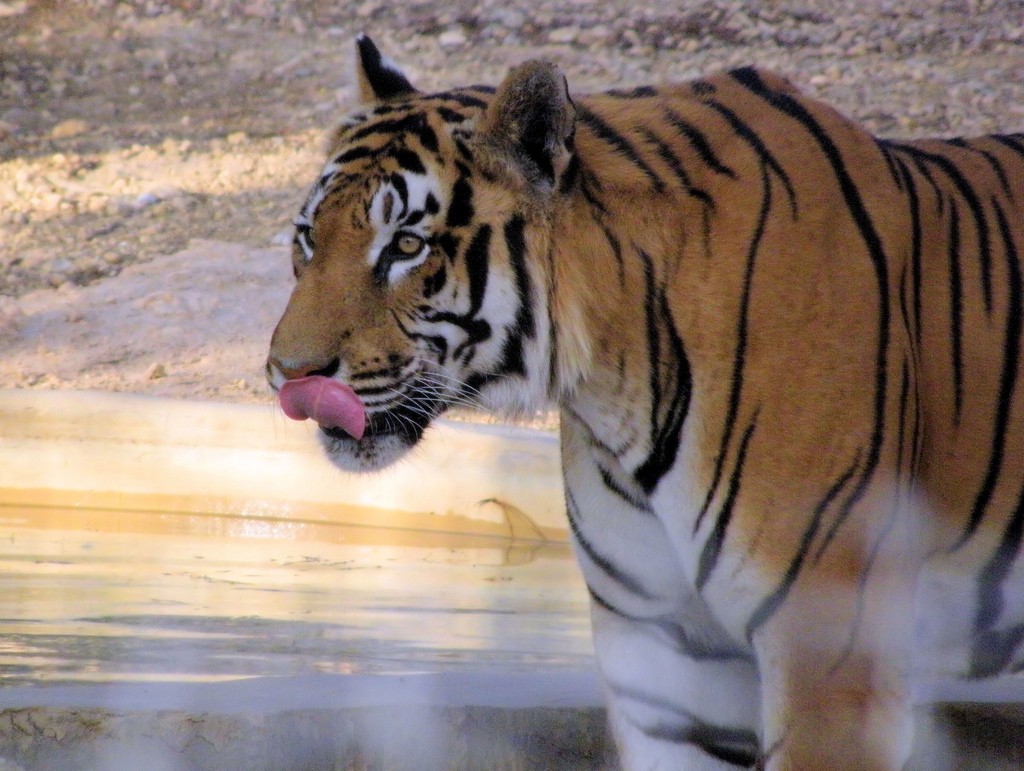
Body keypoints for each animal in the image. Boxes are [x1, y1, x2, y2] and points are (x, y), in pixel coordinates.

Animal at [266, 33, 1024, 765]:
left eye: (406, 246)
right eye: (307, 238)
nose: (287, 375)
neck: (615, 386)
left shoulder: (830, 656)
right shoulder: (669, 666)